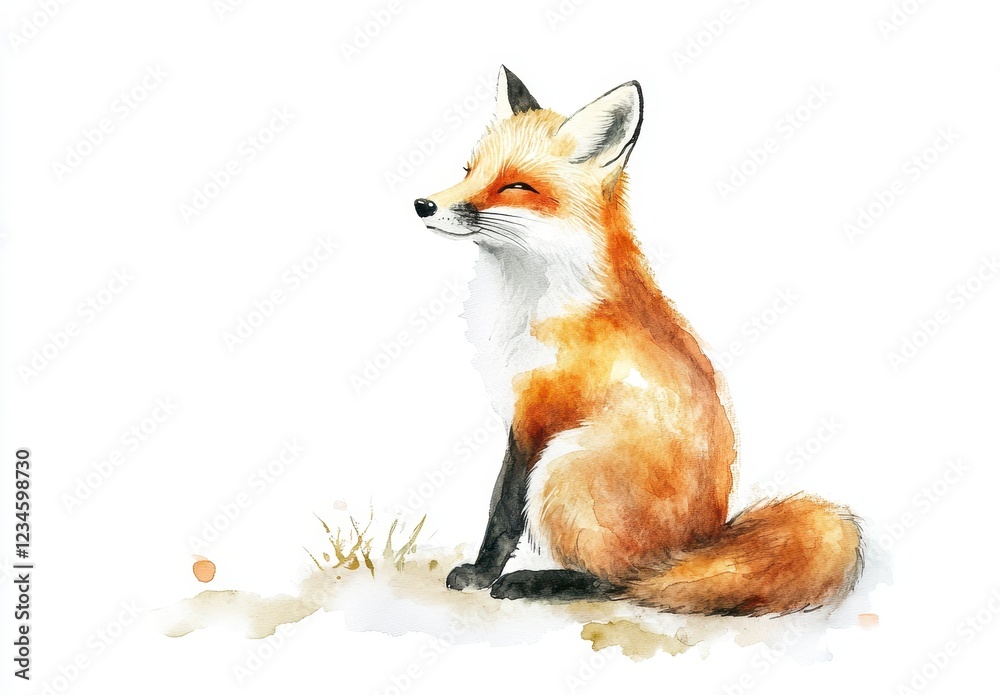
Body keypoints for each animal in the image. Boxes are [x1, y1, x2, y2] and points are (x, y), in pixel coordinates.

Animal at [412, 66, 863, 616]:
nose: (423, 205)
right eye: (469, 170)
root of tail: (697, 545)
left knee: (624, 582)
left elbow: (503, 511)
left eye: (516, 185)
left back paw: (540, 582)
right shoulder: (516, 416)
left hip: (564, 466)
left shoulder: (536, 419)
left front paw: (481, 574)